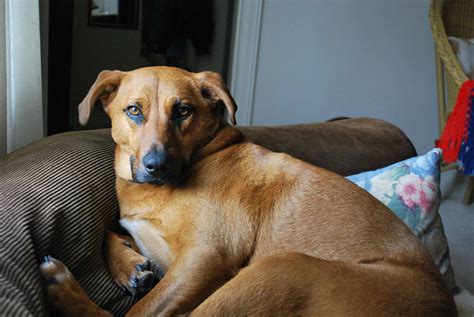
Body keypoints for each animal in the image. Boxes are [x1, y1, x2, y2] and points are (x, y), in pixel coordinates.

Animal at [39, 65, 456, 314]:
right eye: (134, 111)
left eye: (183, 111)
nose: (157, 166)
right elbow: (110, 232)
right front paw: (130, 266)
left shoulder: (207, 256)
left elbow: (144, 309)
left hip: (282, 269)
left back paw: (64, 288)